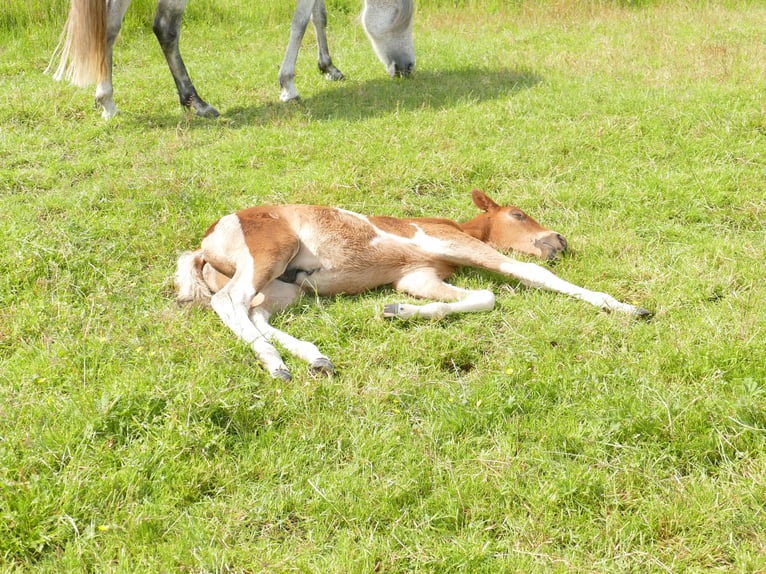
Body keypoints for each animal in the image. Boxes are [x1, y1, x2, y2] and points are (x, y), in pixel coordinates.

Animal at [48, 0, 415, 119]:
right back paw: (196, 101)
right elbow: (300, 20)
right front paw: (288, 85)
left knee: (109, 27)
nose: (408, 68)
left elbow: (318, 15)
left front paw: (329, 67)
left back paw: (107, 101)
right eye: (403, 13)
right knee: (165, 28)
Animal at [175, 190, 651, 380]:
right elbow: (529, 276)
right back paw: (276, 364)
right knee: (227, 302)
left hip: (282, 288)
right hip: (271, 252)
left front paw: (397, 312)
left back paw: (316, 359)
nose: (559, 240)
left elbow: (481, 298)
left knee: (253, 312)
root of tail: (204, 244)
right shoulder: (447, 242)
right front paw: (625, 307)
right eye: (517, 214)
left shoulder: (418, 275)